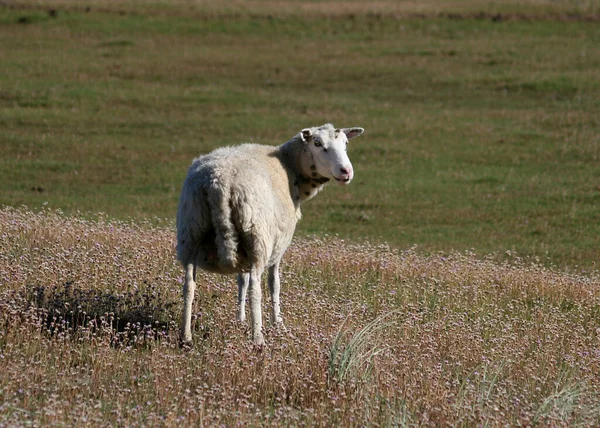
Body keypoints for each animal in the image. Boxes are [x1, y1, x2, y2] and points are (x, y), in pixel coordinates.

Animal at [177, 123, 366, 344]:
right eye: (318, 144)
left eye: (345, 143)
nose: (346, 171)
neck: (290, 165)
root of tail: (219, 183)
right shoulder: (279, 243)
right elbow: (274, 283)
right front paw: (278, 324)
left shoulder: (244, 251)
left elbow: (241, 280)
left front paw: (240, 319)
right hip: (257, 235)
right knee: (255, 288)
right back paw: (258, 337)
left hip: (191, 230)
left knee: (189, 285)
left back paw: (186, 337)